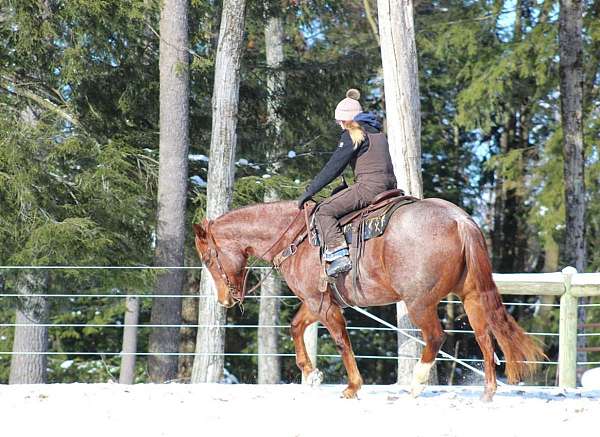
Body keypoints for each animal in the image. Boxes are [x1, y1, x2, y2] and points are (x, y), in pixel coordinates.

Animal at [192, 199, 544, 400]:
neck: (296, 238)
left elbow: (340, 340)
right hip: (471, 295)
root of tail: (459, 220)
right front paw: (311, 374)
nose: (225, 300)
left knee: (435, 336)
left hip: (419, 303)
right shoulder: (316, 301)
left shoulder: (322, 305)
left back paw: (416, 384)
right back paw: (488, 391)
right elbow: (295, 326)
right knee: (484, 336)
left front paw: (352, 386)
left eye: (208, 259)